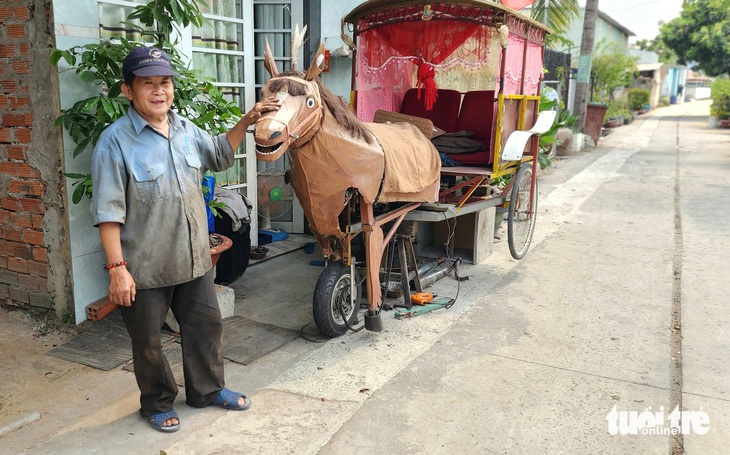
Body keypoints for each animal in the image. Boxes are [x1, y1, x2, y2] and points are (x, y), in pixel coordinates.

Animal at [253, 41, 440, 332]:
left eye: (309, 102)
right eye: (263, 94)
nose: (266, 135)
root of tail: (416, 127)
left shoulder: (364, 205)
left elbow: (367, 245)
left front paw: (367, 310)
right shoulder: (319, 211)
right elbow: (339, 255)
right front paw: (344, 302)